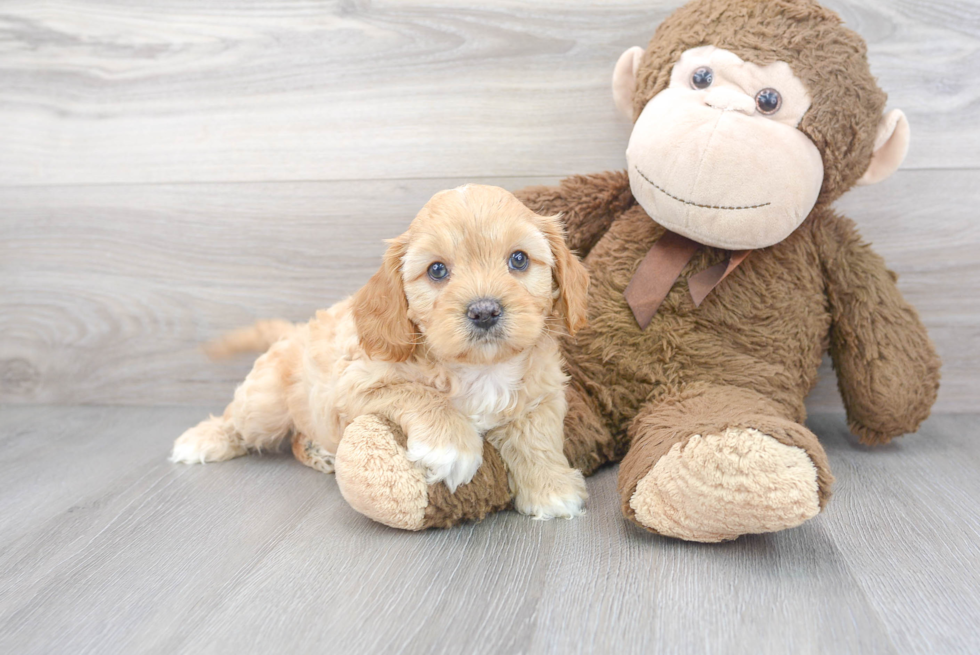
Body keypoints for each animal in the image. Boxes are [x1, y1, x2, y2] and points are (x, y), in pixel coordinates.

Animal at [170, 187, 588, 520]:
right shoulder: (357, 385)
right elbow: (421, 394)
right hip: (265, 404)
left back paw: (318, 451)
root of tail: (295, 330)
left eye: (519, 259)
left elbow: (537, 436)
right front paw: (452, 446)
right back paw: (204, 438)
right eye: (437, 270)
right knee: (239, 420)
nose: (484, 311)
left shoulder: (543, 394)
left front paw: (551, 488)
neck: (481, 369)